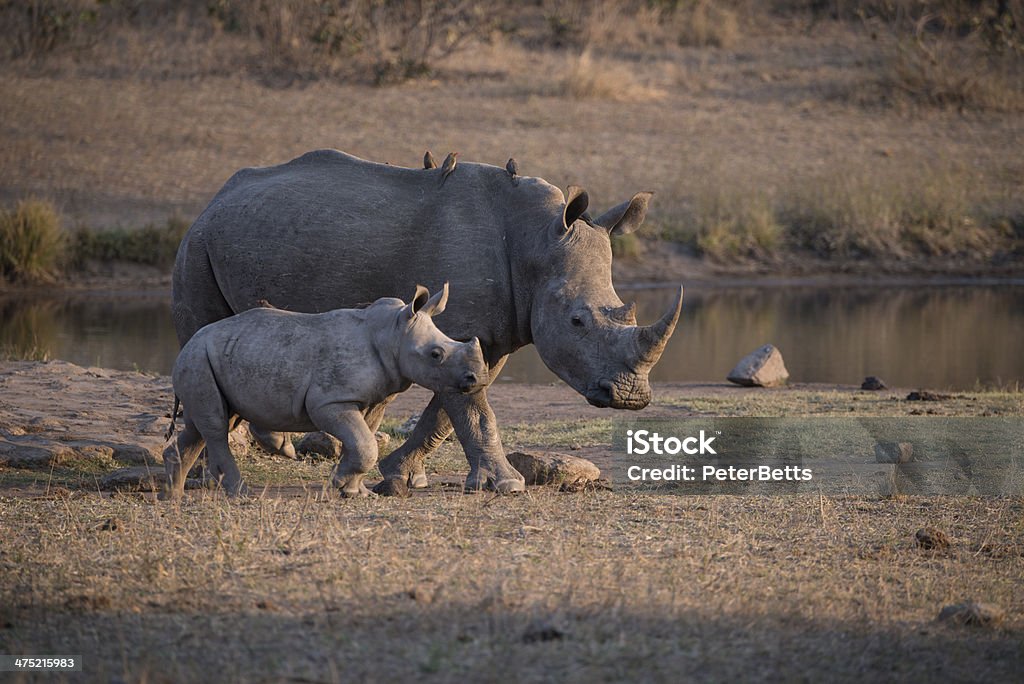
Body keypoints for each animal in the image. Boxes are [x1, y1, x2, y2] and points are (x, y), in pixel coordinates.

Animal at [160, 280, 487, 499]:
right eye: (435, 354)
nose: (478, 379)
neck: (393, 333)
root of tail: (187, 345)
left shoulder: (368, 399)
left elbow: (363, 440)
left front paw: (354, 492)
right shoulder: (329, 401)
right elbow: (364, 444)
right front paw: (340, 485)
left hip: (213, 358)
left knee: (208, 423)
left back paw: (173, 496)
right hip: (197, 357)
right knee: (216, 426)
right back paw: (241, 494)